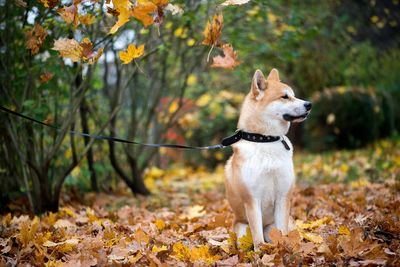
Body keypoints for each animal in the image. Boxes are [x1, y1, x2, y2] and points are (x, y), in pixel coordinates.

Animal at [225, 68, 312, 251]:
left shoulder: (283, 197)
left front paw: (284, 248)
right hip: (242, 230)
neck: (265, 140)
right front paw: (261, 252)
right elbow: (258, 238)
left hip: (278, 225)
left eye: (293, 95)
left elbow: (282, 233)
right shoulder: (252, 200)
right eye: (285, 97)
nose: (309, 104)